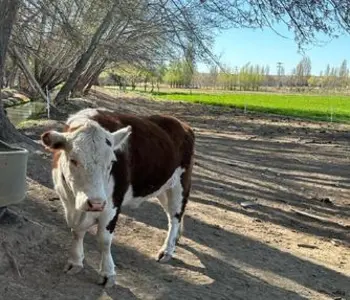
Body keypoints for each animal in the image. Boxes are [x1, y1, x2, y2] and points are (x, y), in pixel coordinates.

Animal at [41, 109, 194, 288]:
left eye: (112, 162)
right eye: (73, 159)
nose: (96, 203)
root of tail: (182, 124)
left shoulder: (111, 205)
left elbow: (104, 239)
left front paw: (107, 273)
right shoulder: (68, 202)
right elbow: (77, 231)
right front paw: (75, 262)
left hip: (181, 183)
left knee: (175, 217)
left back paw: (167, 250)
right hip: (163, 186)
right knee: (172, 215)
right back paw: (177, 238)